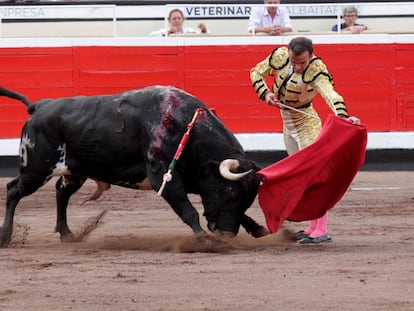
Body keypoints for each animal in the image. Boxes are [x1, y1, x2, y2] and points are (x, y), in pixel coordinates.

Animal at [0, 86, 268, 249]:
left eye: (248, 198)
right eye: (230, 191)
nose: (227, 234)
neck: (187, 129)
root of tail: (39, 107)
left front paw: (259, 229)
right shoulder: (164, 176)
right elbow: (188, 210)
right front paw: (204, 240)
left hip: (75, 172)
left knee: (61, 193)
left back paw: (67, 234)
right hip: (36, 168)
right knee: (14, 190)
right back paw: (5, 236)